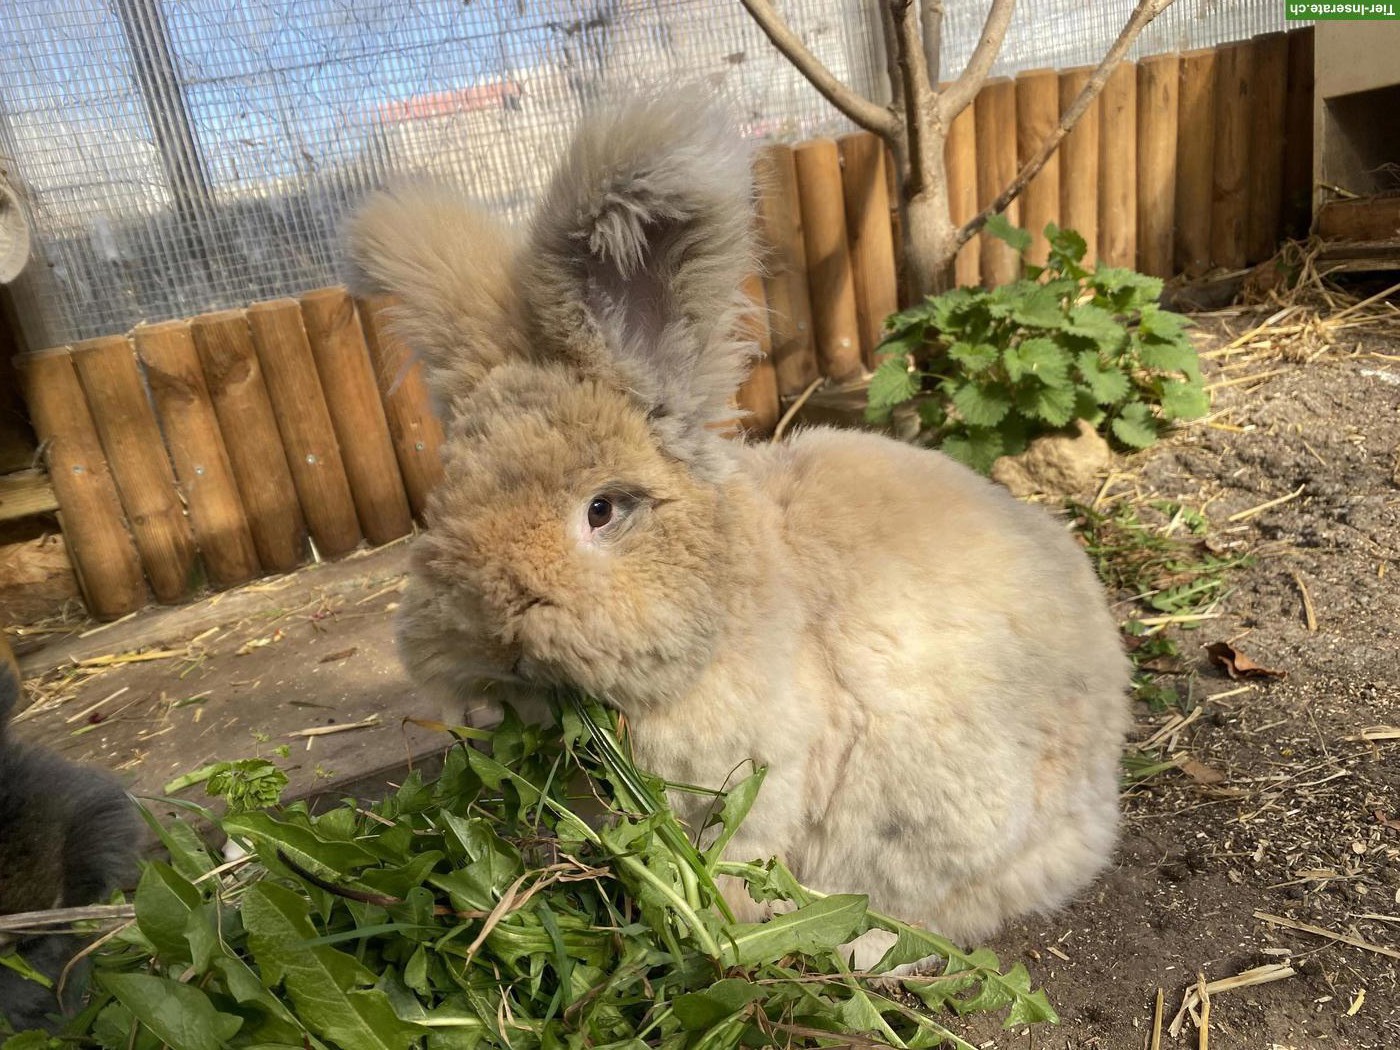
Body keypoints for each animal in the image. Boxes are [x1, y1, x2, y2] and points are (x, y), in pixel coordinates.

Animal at [345, 92, 1132, 963]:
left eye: (602, 510)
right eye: (442, 503)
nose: (490, 642)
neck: (726, 609)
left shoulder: (763, 782)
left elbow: (741, 852)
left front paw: (717, 921)